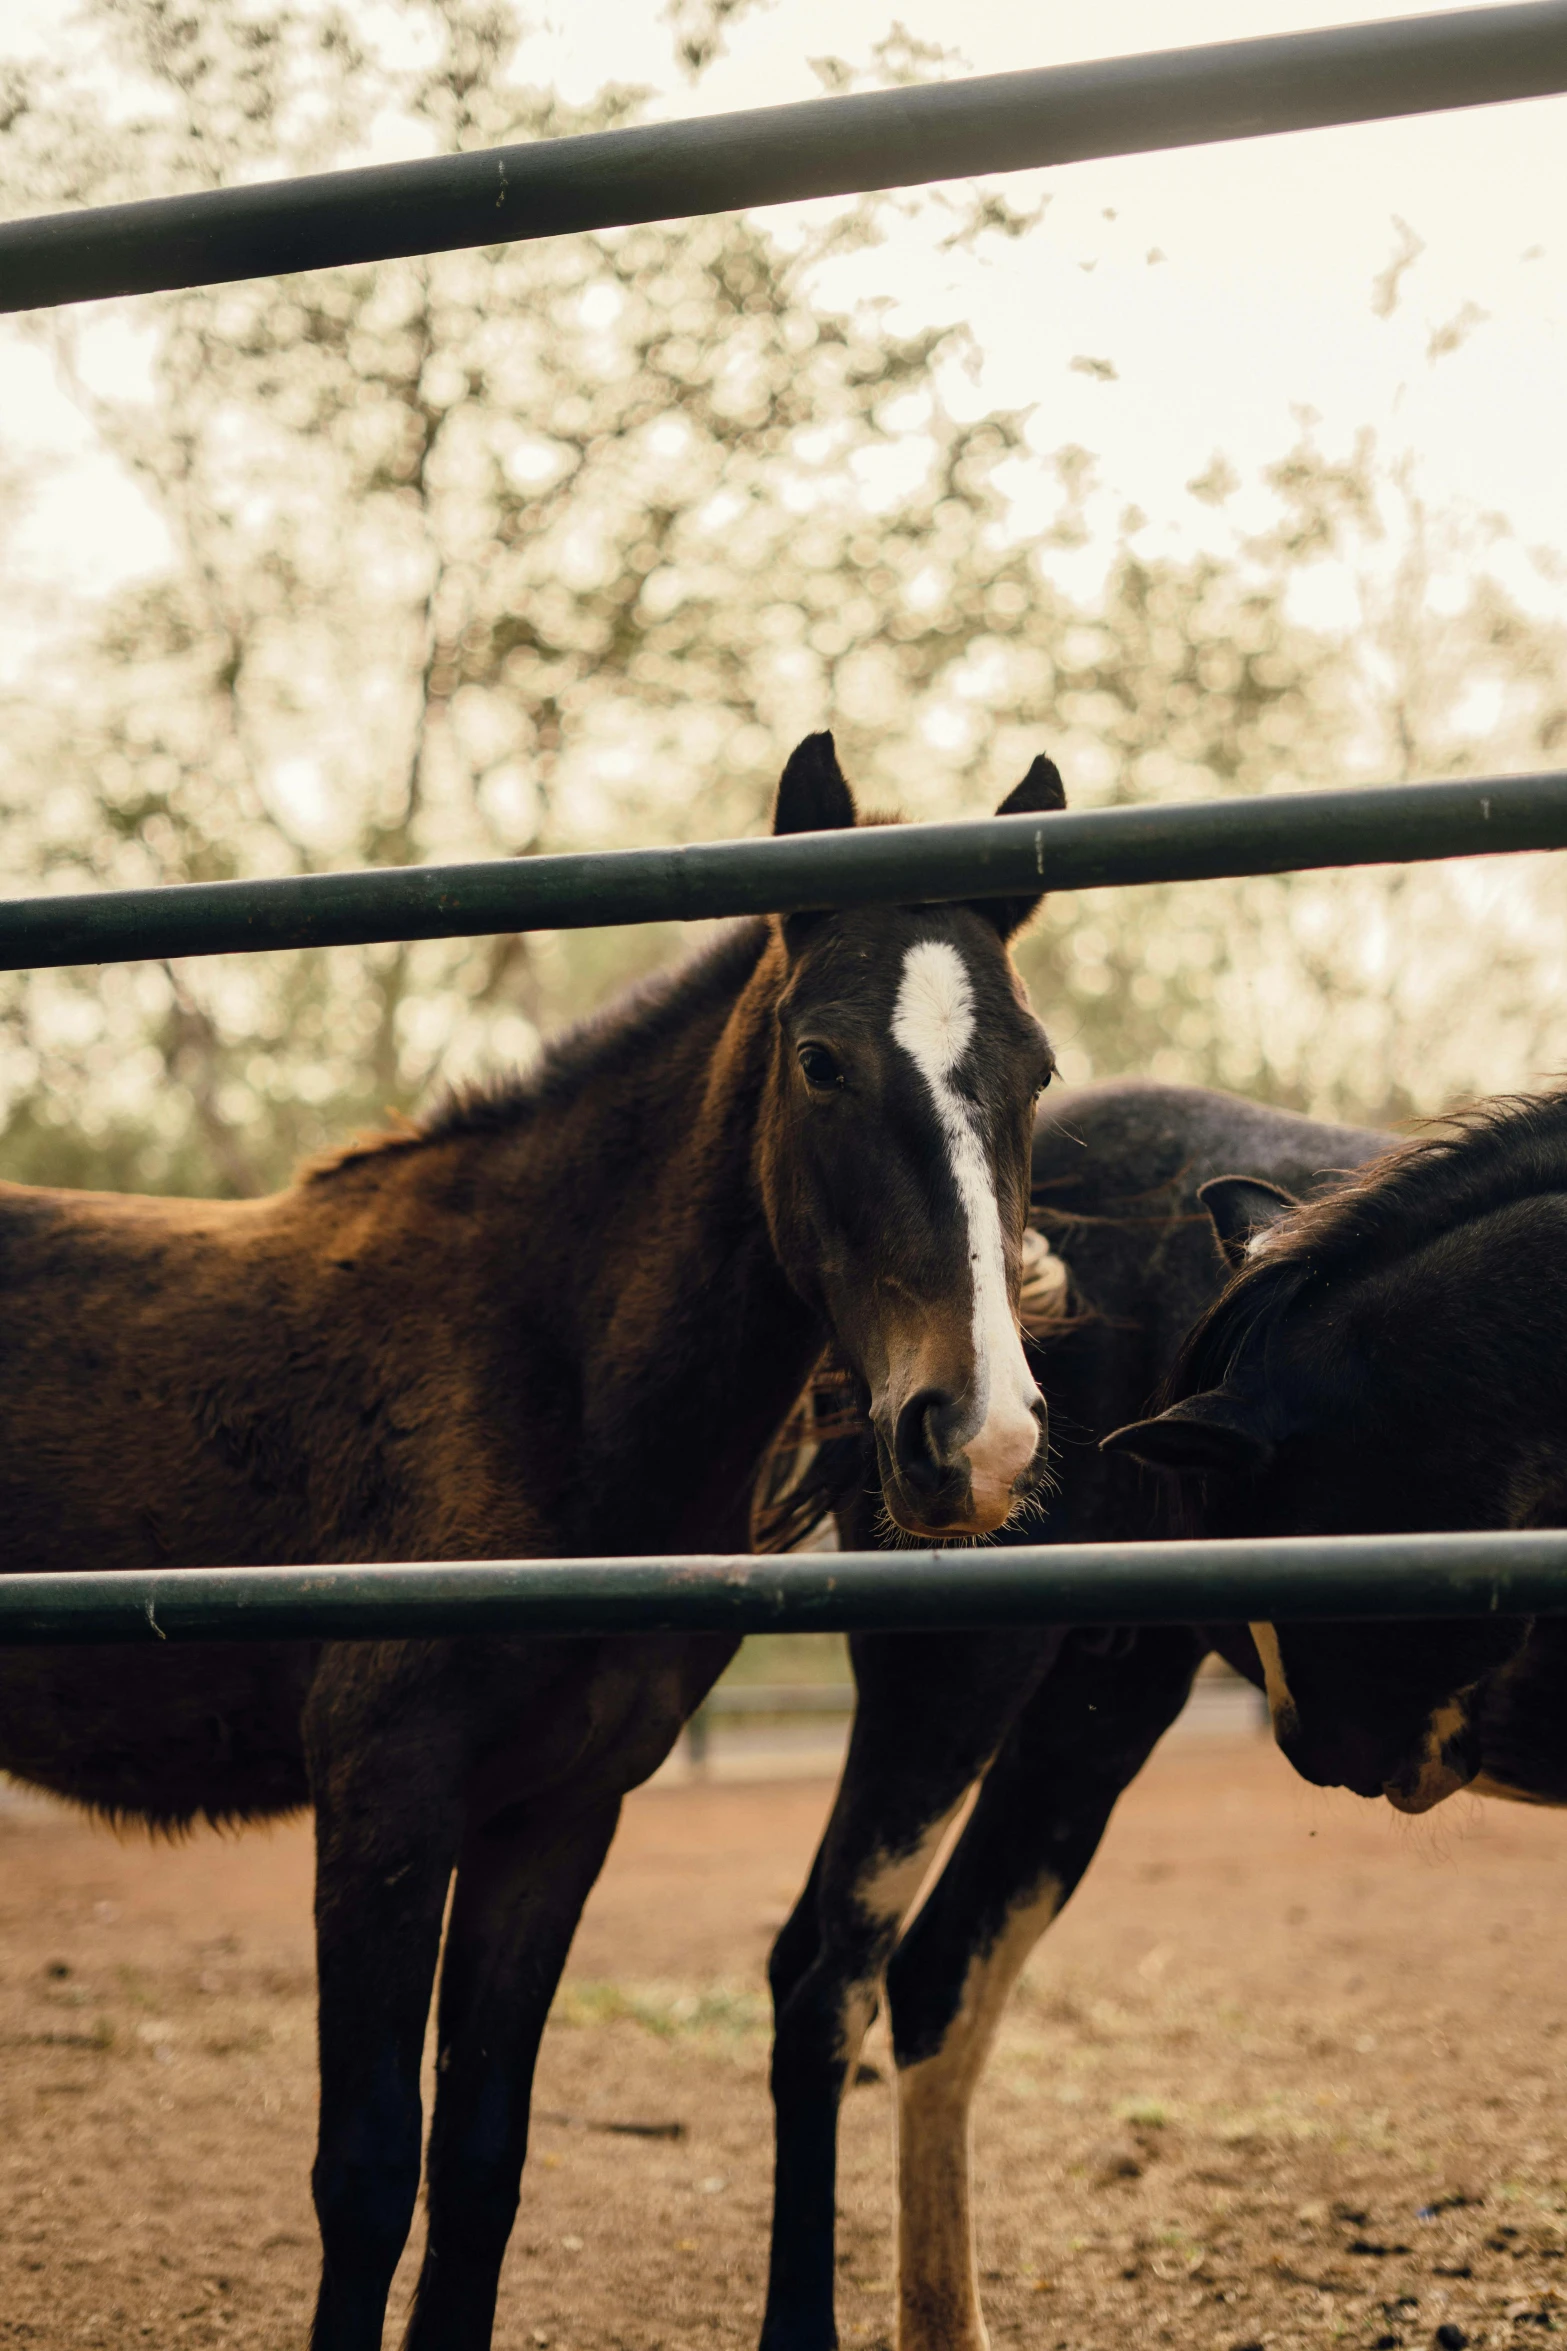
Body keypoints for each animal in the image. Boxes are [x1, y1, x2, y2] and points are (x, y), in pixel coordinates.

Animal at [0, 733, 1066, 2351]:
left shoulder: (556, 1815)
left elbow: (481, 2165)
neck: (533, 1369)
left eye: (1036, 1070)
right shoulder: (384, 1806)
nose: (978, 1437)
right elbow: (368, 2170)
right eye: (819, 1058)